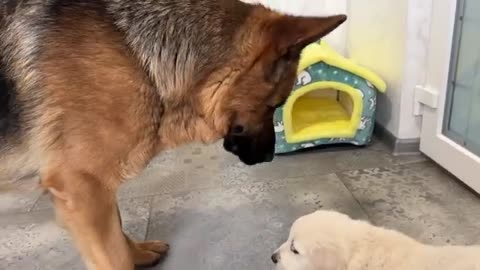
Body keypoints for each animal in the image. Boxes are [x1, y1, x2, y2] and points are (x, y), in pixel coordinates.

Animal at [0, 1, 344, 268]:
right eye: (274, 104)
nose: (271, 156)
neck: (135, 57)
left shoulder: (94, 190)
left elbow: (118, 229)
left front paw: (137, 252)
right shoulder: (83, 189)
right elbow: (113, 255)